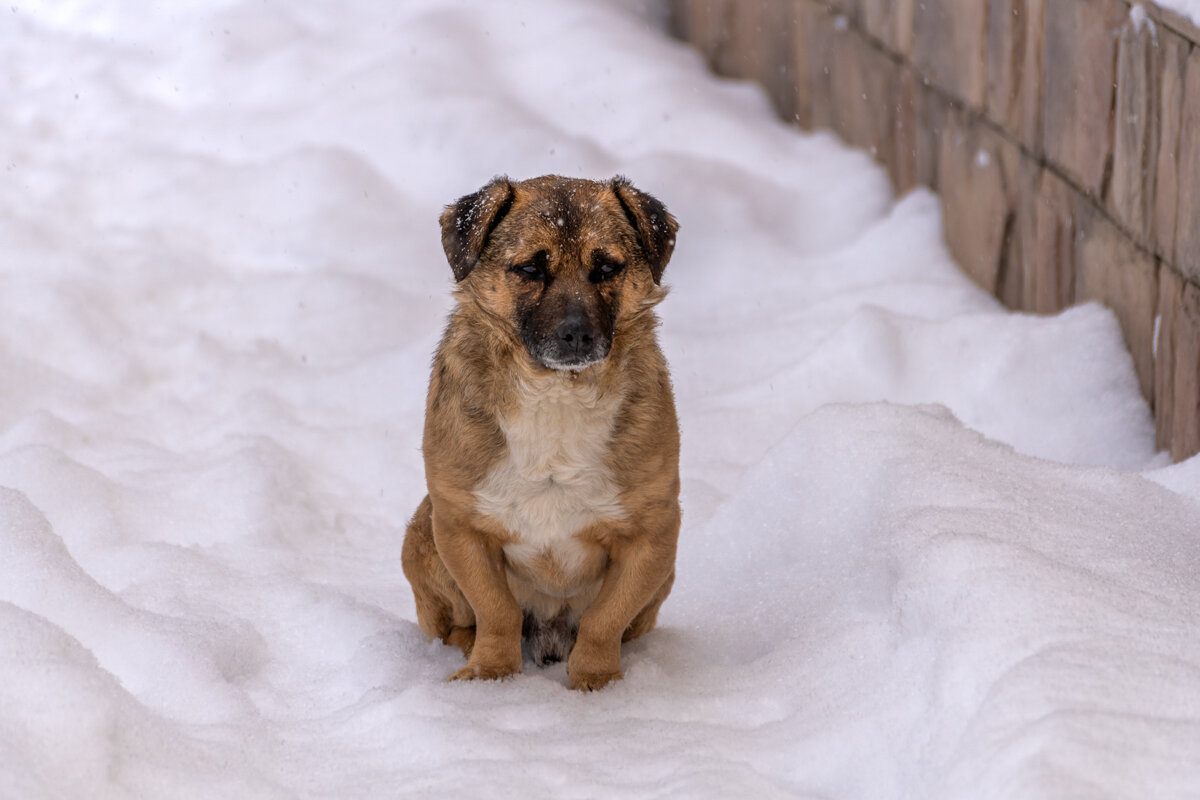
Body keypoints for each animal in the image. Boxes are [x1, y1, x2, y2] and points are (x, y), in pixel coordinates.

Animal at [403, 173, 681, 690]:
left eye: (606, 267)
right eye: (531, 268)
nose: (577, 334)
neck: (556, 392)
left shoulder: (651, 535)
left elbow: (604, 620)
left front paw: (597, 681)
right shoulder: (460, 526)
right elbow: (497, 611)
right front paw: (491, 673)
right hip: (420, 535)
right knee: (456, 624)